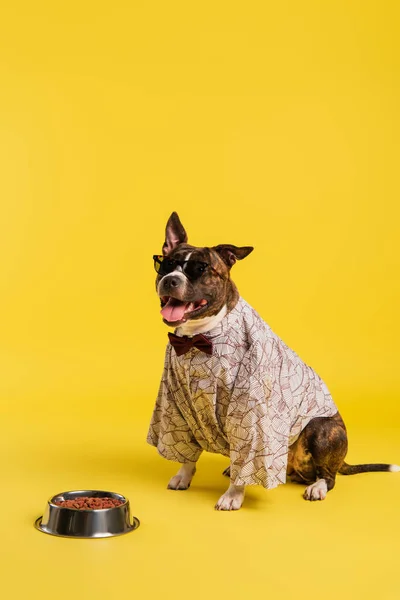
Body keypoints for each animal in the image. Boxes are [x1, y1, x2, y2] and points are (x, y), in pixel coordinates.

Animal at [147, 212, 396, 510]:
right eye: (166, 264)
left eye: (200, 269)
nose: (171, 279)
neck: (200, 337)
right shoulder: (175, 407)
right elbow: (185, 448)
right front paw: (183, 476)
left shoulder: (249, 413)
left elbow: (247, 456)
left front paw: (233, 495)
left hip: (320, 429)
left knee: (328, 476)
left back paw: (317, 487)